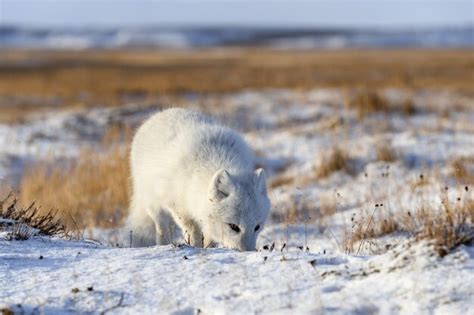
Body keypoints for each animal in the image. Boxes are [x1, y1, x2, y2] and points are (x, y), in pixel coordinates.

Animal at [126, 108, 270, 252]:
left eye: (257, 227)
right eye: (233, 226)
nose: (247, 251)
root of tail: (163, 112)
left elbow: (209, 237)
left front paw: (208, 248)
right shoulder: (179, 208)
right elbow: (193, 232)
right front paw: (195, 247)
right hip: (154, 205)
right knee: (162, 229)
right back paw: (163, 245)